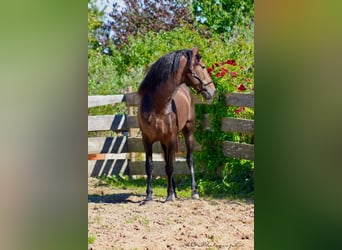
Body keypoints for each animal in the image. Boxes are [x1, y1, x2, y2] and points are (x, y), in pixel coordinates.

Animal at [137, 47, 215, 203]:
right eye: (203, 67)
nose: (212, 90)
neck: (157, 106)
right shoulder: (146, 139)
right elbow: (150, 166)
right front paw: (149, 196)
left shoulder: (171, 138)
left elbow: (170, 167)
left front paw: (168, 197)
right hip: (163, 142)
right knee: (168, 159)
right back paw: (173, 191)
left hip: (188, 132)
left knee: (189, 160)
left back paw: (193, 192)